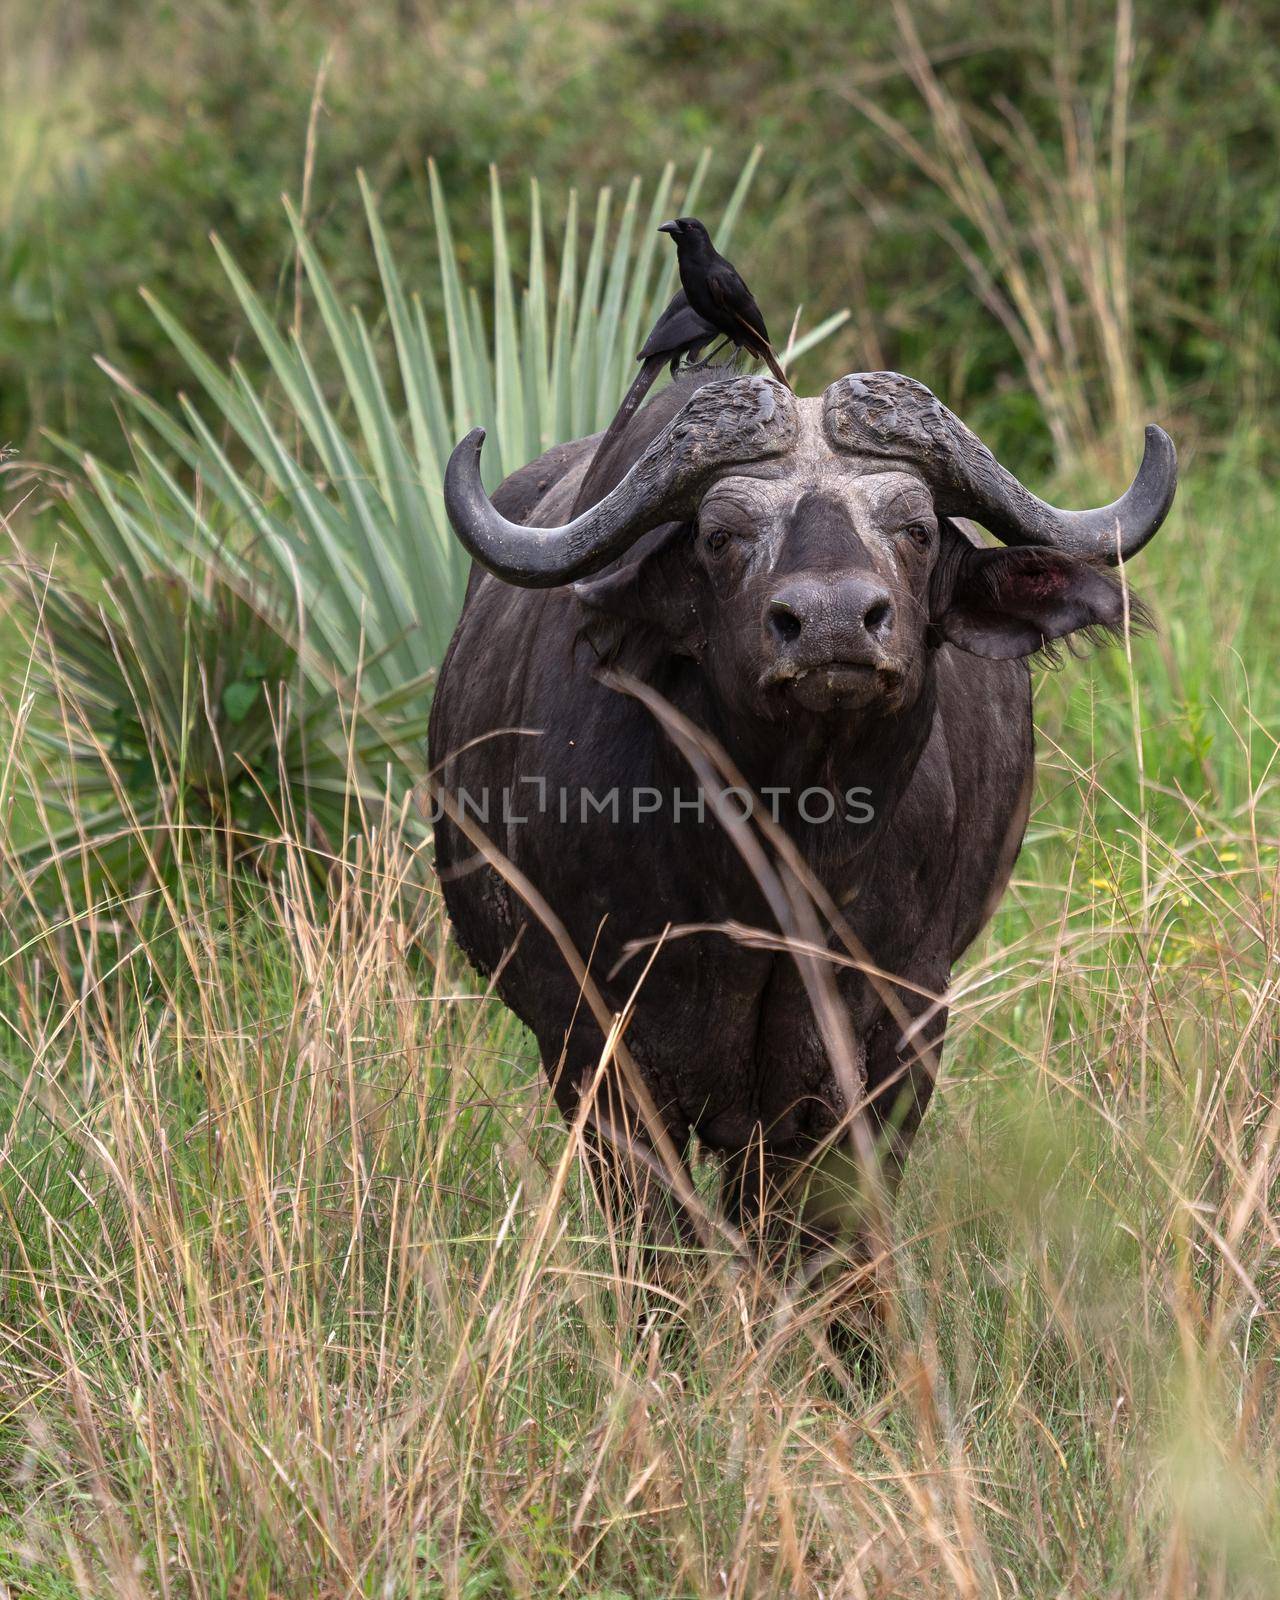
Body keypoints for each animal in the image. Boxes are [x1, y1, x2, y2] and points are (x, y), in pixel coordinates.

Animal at [425, 374, 1177, 1299]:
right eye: (720, 535)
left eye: (918, 528)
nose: (833, 624)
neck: (774, 876)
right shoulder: (591, 1047)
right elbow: (659, 1248)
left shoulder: (896, 1040)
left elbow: (825, 1235)